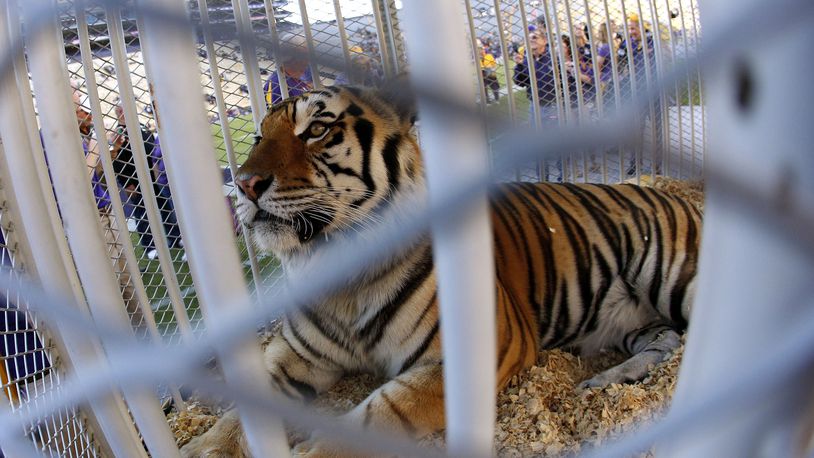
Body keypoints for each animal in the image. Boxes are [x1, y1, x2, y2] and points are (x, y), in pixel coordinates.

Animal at [182, 84, 704, 456]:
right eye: (257, 136)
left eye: (316, 130)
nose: (244, 183)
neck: (340, 278)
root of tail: (673, 194)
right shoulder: (293, 354)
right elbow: (243, 409)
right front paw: (204, 447)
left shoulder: (476, 352)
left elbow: (381, 412)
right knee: (666, 339)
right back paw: (607, 380)